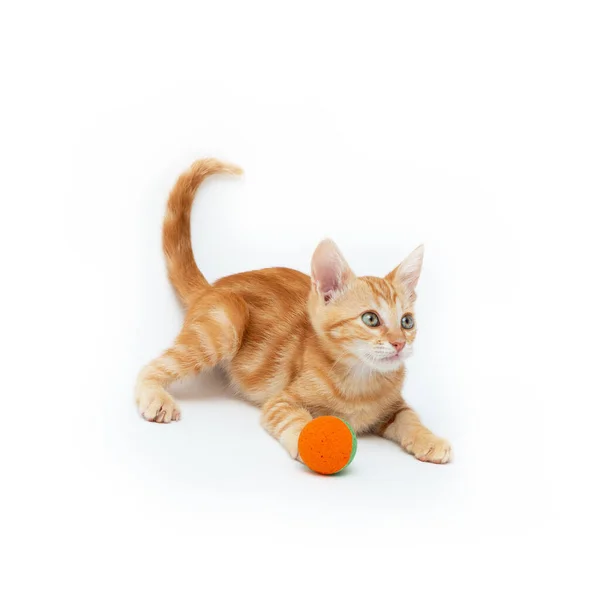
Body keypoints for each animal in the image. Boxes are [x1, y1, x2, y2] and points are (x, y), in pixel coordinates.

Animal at [136, 158, 452, 464]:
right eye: (371, 319)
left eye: (407, 322)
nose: (399, 343)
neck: (362, 380)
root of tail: (212, 286)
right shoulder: (281, 401)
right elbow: (294, 418)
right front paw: (314, 442)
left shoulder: (394, 406)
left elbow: (410, 417)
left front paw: (429, 439)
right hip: (225, 324)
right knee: (151, 366)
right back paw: (154, 395)